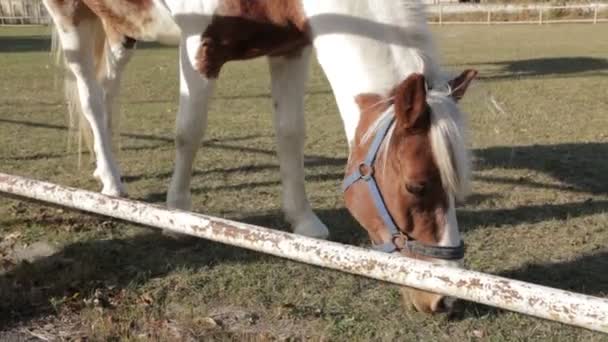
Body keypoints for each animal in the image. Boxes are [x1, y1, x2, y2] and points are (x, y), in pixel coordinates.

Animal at [44, 0, 480, 314]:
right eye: (416, 186)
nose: (444, 299)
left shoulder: (291, 50)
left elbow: (290, 133)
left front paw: (304, 221)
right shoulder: (199, 45)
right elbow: (189, 130)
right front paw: (177, 215)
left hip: (121, 29)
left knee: (107, 94)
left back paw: (108, 170)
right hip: (70, 16)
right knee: (90, 97)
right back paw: (112, 183)